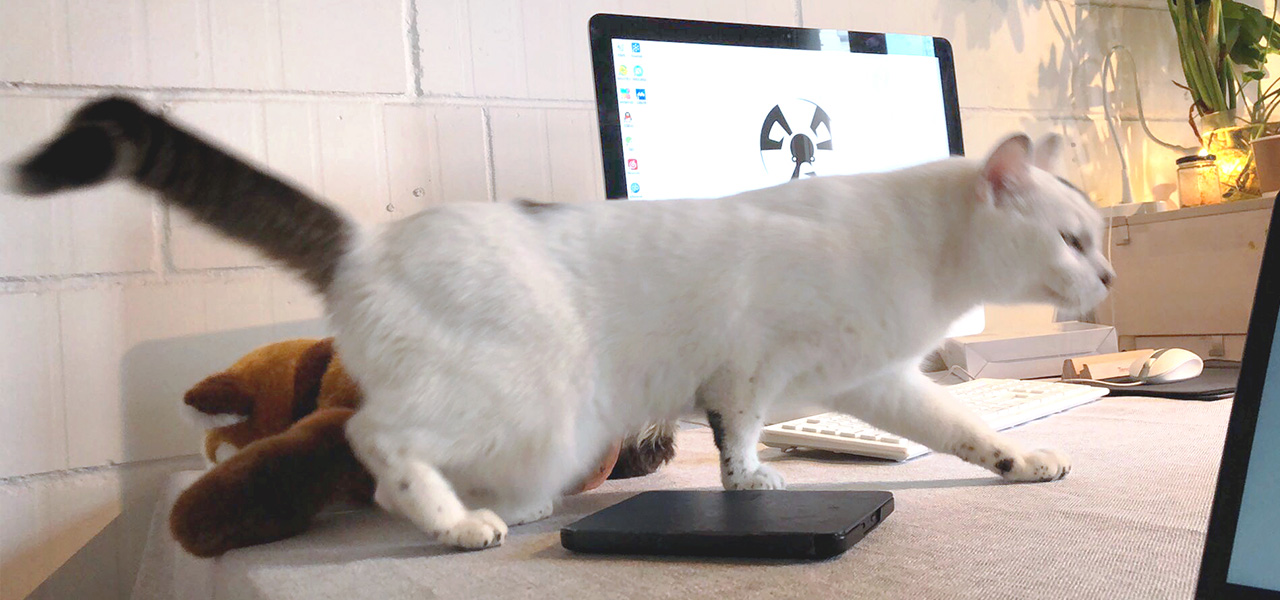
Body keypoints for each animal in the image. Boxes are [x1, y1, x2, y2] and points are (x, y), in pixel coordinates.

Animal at [11, 97, 1113, 551]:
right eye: (1072, 239)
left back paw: (508, 509)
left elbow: (958, 428)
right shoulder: (749, 367)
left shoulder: (871, 381)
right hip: (534, 399)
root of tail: (370, 243)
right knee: (376, 442)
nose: (1104, 278)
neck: (922, 262)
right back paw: (458, 524)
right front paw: (753, 483)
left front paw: (1026, 463)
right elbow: (741, 437)